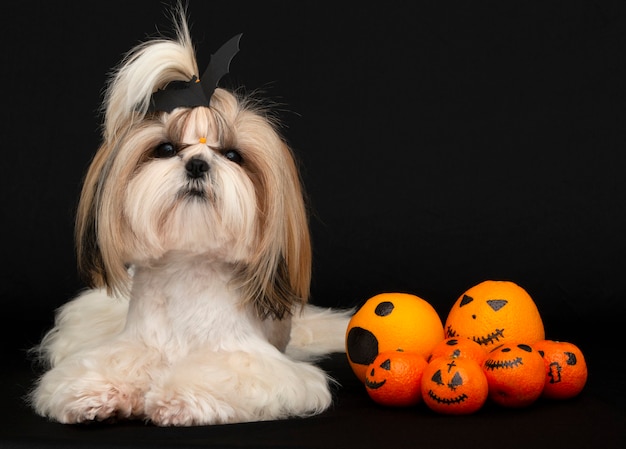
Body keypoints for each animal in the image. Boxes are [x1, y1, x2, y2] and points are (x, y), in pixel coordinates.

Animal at [29, 5, 352, 426]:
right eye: (166, 149)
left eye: (232, 155)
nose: (197, 163)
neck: (188, 269)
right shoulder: (133, 344)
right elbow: (113, 361)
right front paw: (93, 393)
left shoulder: (257, 364)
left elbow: (222, 372)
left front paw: (179, 397)